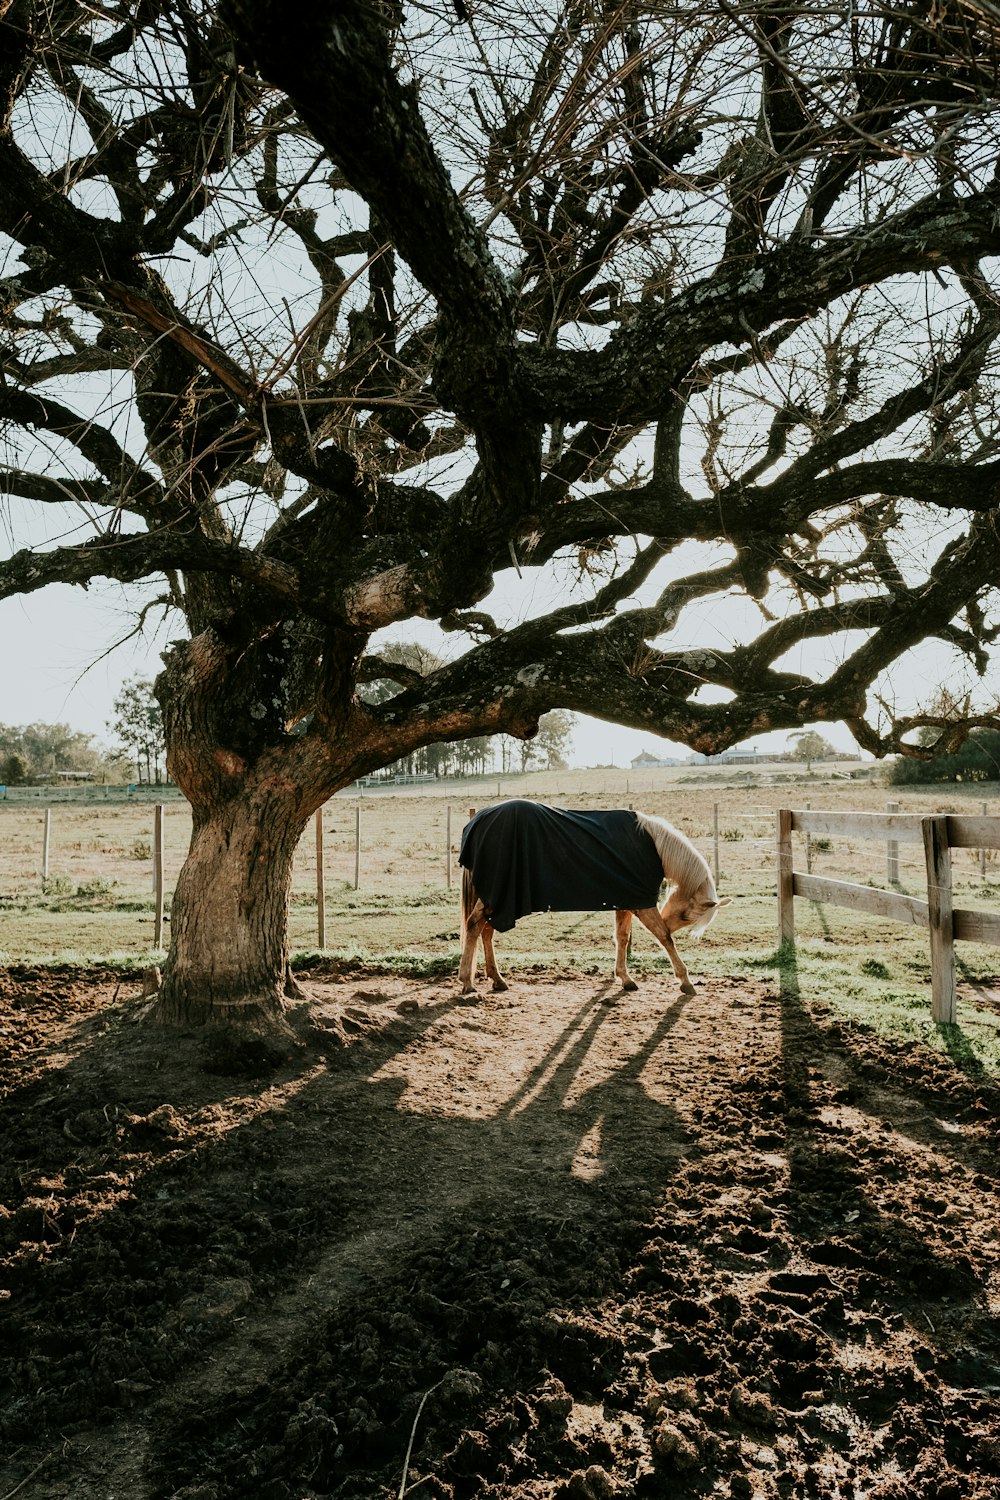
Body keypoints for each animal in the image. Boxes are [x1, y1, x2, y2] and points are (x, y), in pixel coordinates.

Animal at [458, 798, 731, 996]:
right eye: (686, 916)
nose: (672, 922)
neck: (653, 845)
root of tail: (478, 820)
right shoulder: (642, 904)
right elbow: (664, 938)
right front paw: (685, 981)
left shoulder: (626, 901)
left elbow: (622, 938)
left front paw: (625, 978)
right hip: (497, 899)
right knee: (474, 926)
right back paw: (468, 982)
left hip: (498, 900)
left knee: (485, 932)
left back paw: (497, 979)